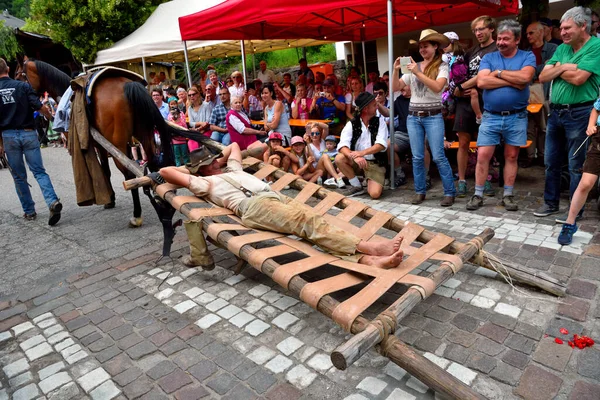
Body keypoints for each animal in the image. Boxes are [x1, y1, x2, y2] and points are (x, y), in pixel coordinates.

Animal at [14, 56, 176, 227]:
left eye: (18, 75)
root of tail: (128, 85)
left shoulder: (101, 145)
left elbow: (106, 170)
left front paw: (110, 199)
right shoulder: (101, 146)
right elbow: (105, 170)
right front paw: (111, 199)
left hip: (118, 144)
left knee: (130, 173)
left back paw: (136, 214)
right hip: (144, 134)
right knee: (153, 163)